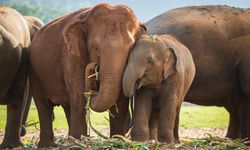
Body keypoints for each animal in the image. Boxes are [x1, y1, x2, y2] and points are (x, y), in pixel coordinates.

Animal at [29, 2, 146, 147]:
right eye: (95, 47)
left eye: (131, 48)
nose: (93, 66)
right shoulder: (71, 54)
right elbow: (79, 93)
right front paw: (78, 144)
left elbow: (120, 97)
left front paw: (117, 141)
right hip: (34, 71)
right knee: (43, 105)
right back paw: (50, 145)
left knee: (67, 105)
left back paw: (70, 139)